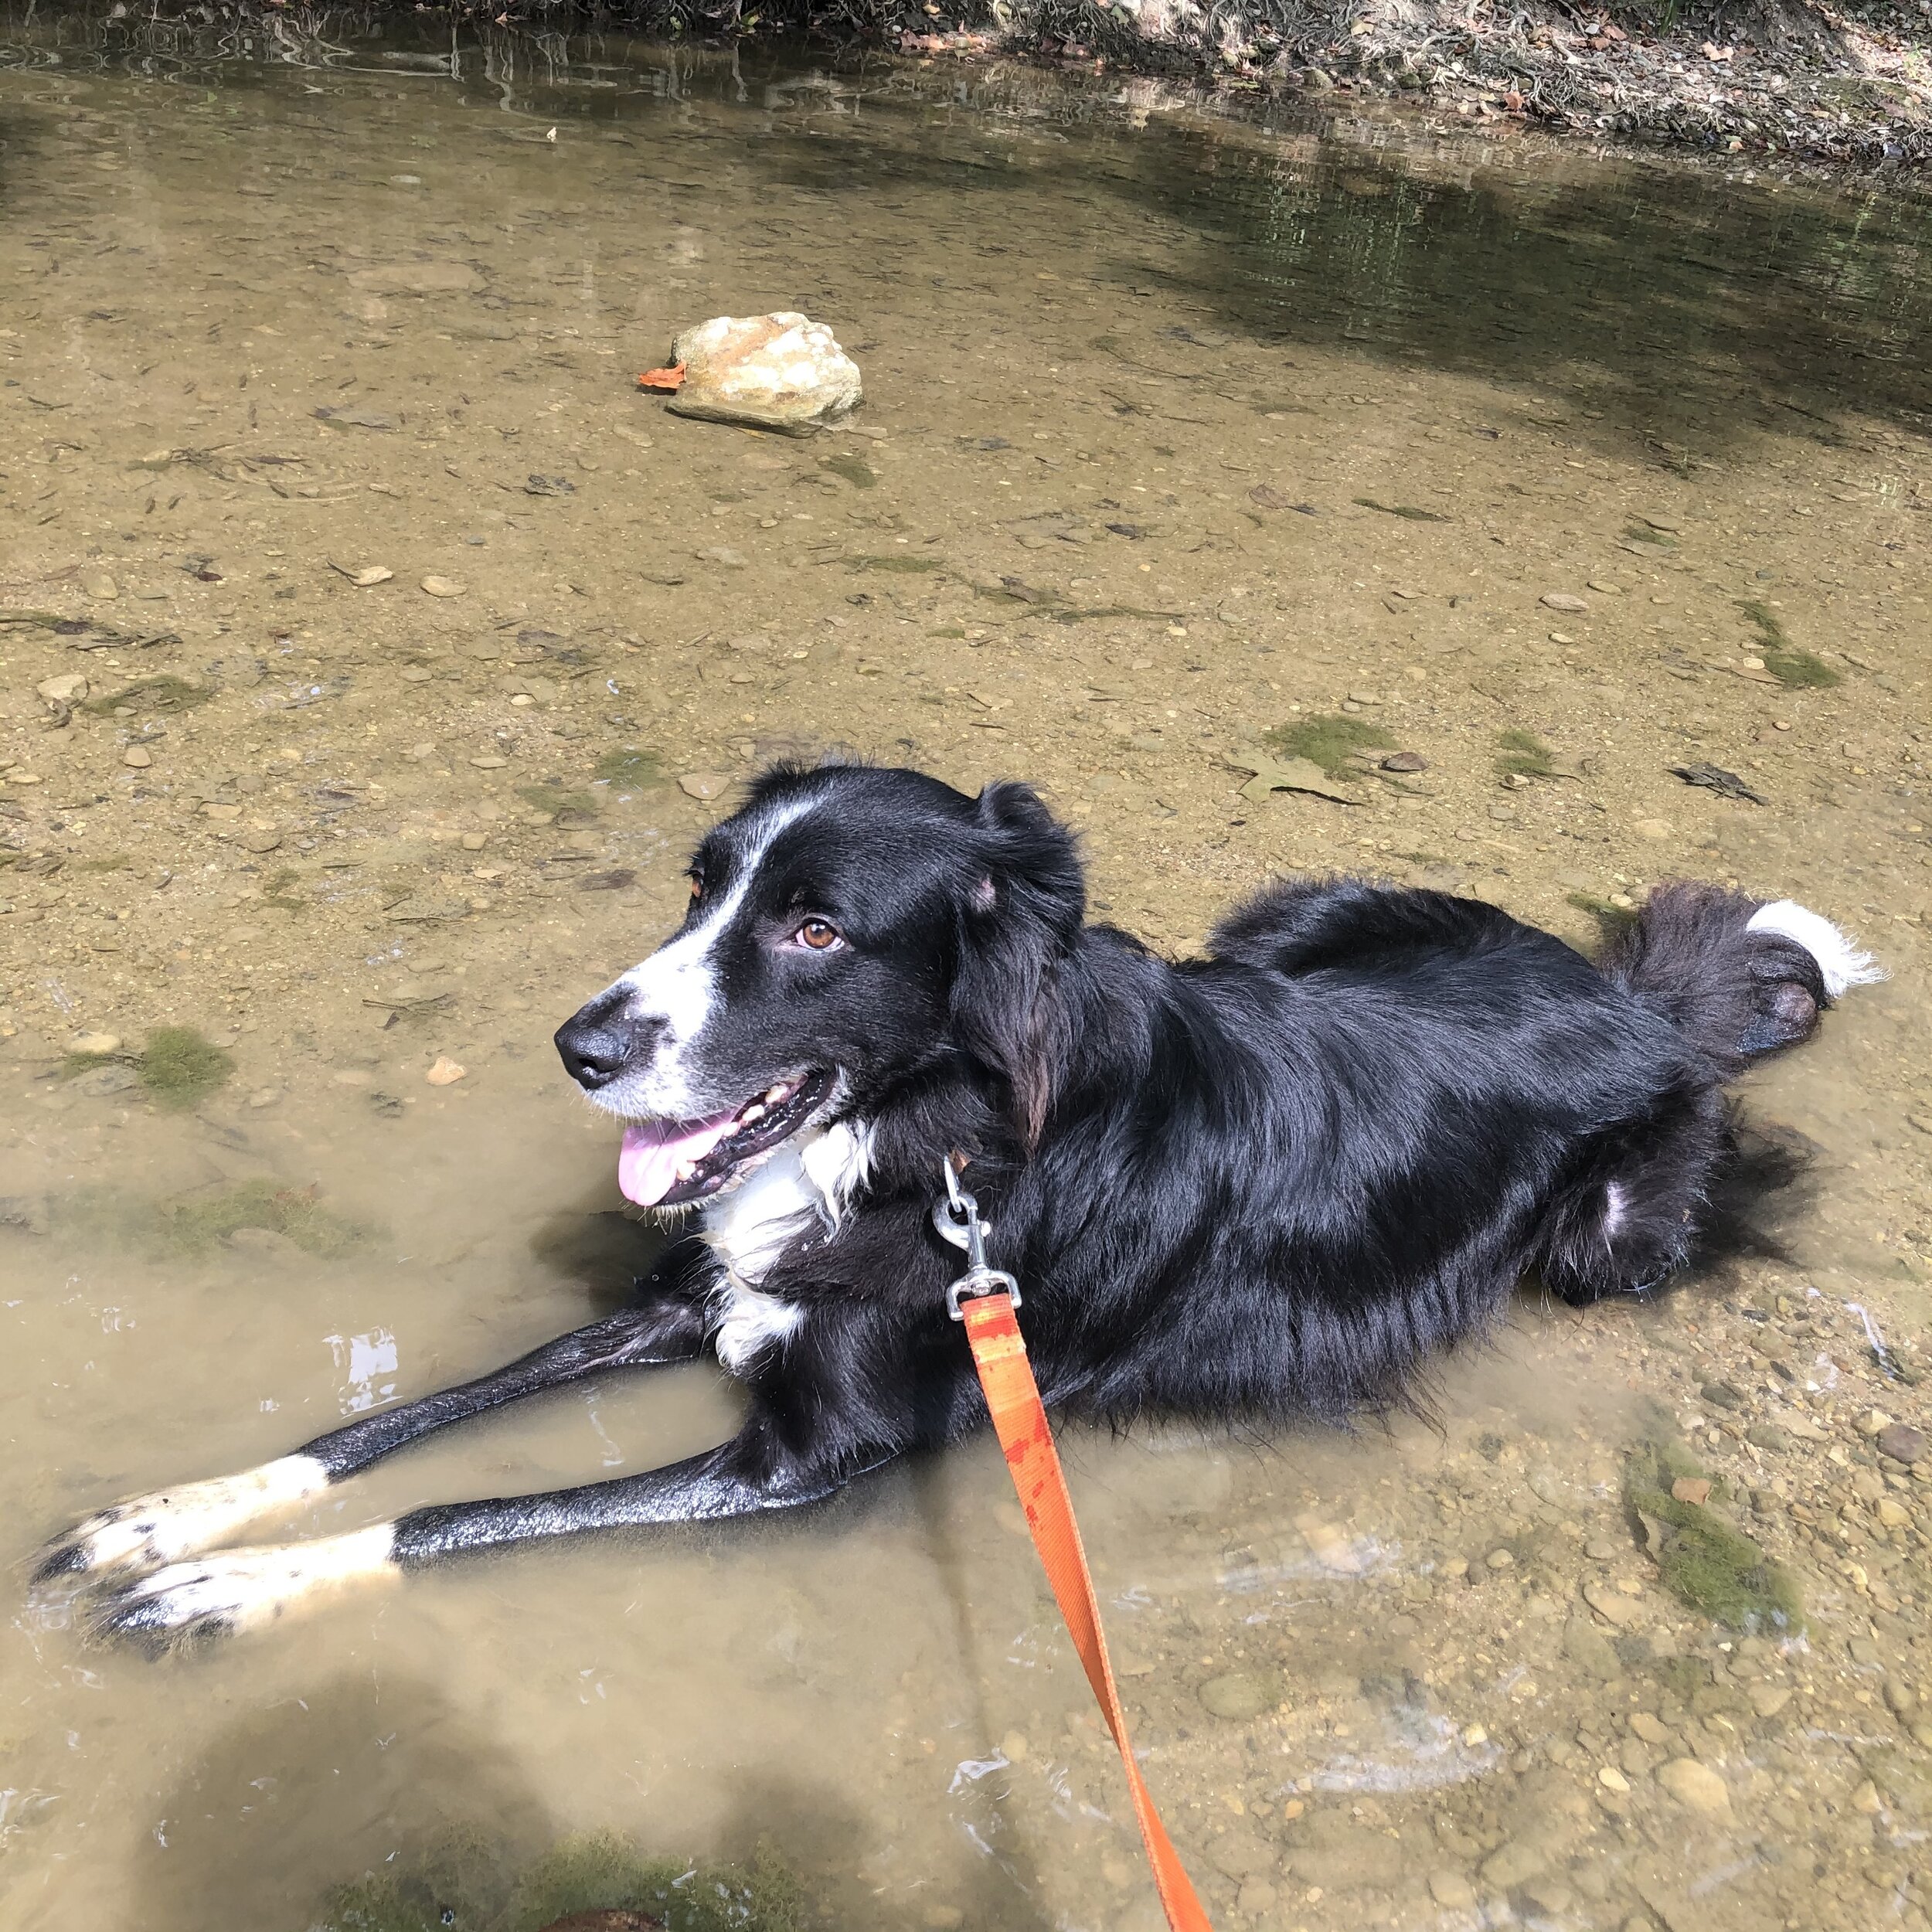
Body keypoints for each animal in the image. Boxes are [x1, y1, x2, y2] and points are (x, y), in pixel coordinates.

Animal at [37, 757, 1878, 1646]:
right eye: (699, 886)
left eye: (815, 929)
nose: (578, 1046)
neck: (921, 1143)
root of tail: (1634, 1002)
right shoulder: (689, 1294)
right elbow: (400, 1418)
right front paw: (180, 1516)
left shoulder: (809, 1458)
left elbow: (474, 1506)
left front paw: (237, 1589)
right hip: (1285, 914)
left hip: (1610, 1243)